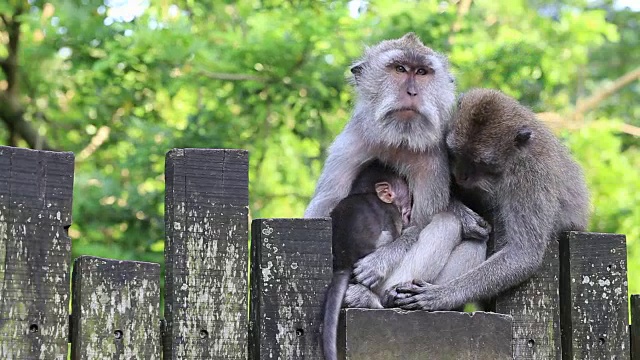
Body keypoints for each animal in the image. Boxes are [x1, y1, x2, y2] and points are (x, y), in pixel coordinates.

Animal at [304, 32, 490, 310]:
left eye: (421, 72)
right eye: (400, 69)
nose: (412, 91)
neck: (399, 138)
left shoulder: (432, 162)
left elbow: (421, 222)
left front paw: (378, 262)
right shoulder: (350, 144)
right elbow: (325, 205)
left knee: (451, 227)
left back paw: (378, 298)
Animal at [384, 88, 592, 310]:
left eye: (481, 163)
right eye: (456, 153)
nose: (462, 175)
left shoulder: (530, 173)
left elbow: (523, 254)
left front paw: (442, 295)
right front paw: (464, 216)